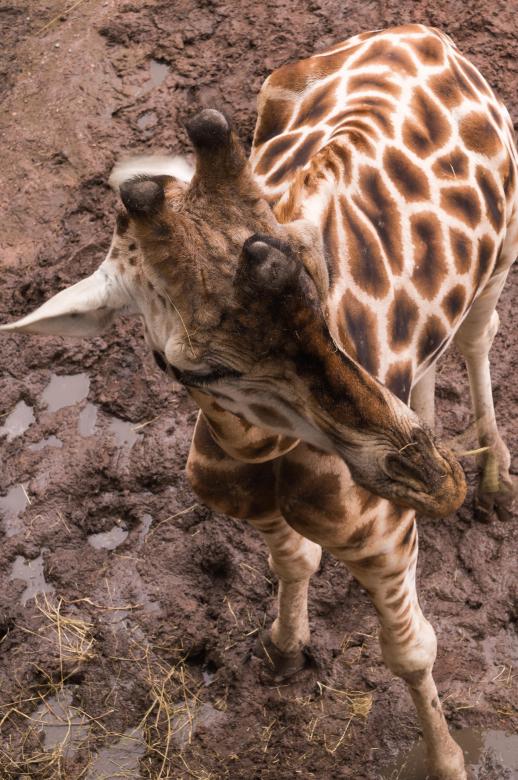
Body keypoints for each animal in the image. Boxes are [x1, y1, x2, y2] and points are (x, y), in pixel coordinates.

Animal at [2, 23, 517, 780]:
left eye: (320, 280)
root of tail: (416, 32)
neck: (260, 448)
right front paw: (282, 650)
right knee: (437, 349)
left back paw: (494, 480)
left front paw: (448, 760)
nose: (432, 481)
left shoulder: (387, 542)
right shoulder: (256, 506)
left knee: (480, 334)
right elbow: (293, 562)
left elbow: (410, 652)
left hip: (504, 247)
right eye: (189, 367)